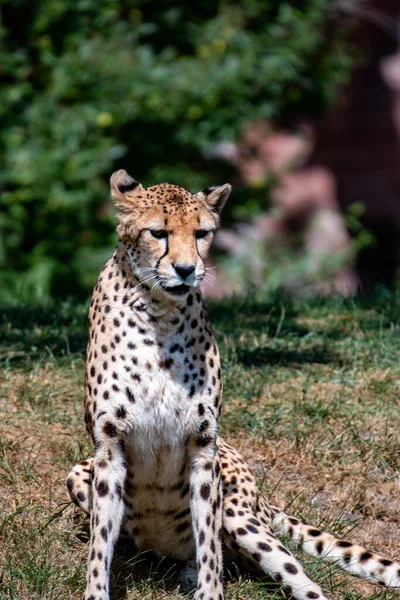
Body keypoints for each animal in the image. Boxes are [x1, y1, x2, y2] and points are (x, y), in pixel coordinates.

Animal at [66, 170, 400, 600]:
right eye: (158, 232)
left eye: (202, 233)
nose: (186, 270)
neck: (159, 312)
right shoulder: (109, 446)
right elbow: (100, 541)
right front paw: (97, 590)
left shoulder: (203, 443)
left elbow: (208, 541)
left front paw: (210, 592)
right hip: (78, 473)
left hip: (244, 520)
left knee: (304, 583)